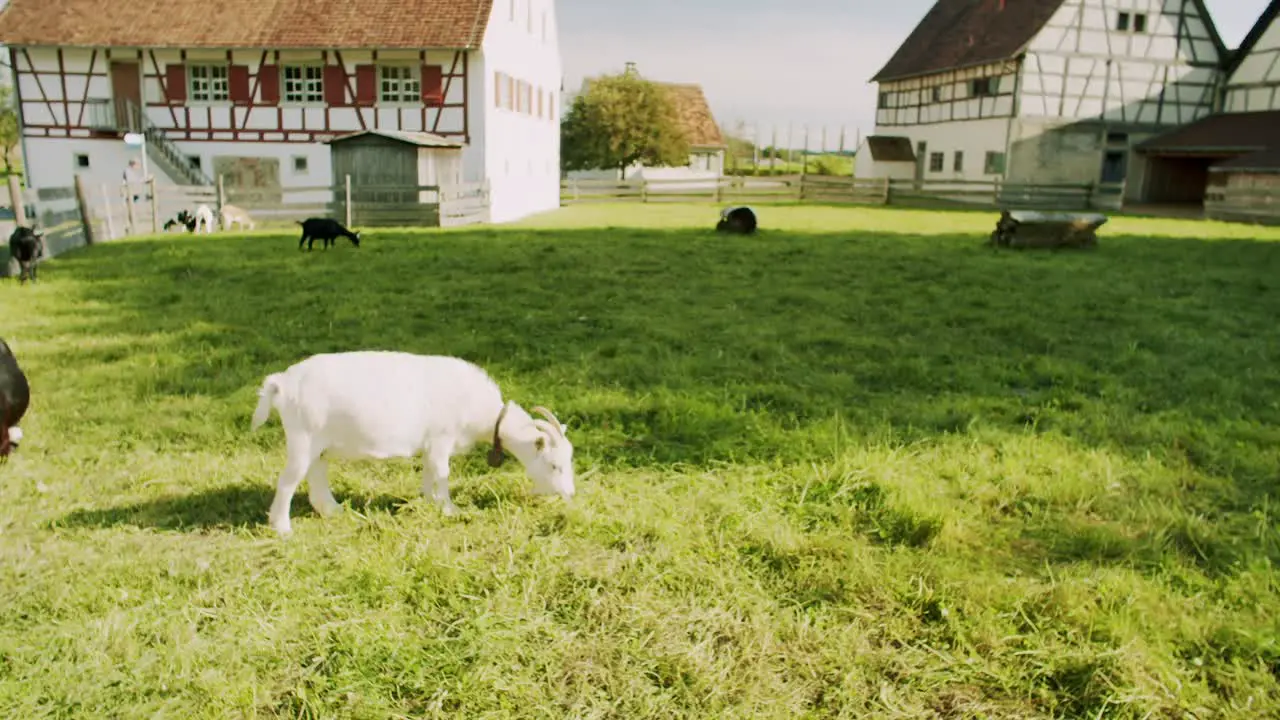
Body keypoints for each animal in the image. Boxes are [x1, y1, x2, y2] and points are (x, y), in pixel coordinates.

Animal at [248, 348, 576, 532]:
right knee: (288, 480)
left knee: (316, 476)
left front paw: (430, 502)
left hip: (319, 444)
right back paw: (282, 528)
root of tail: (282, 383)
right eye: (554, 465)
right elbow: (443, 473)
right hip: (302, 437)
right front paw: (450, 509)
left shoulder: (432, 444)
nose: (570, 494)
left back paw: (334, 510)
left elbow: (430, 472)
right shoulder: (442, 438)